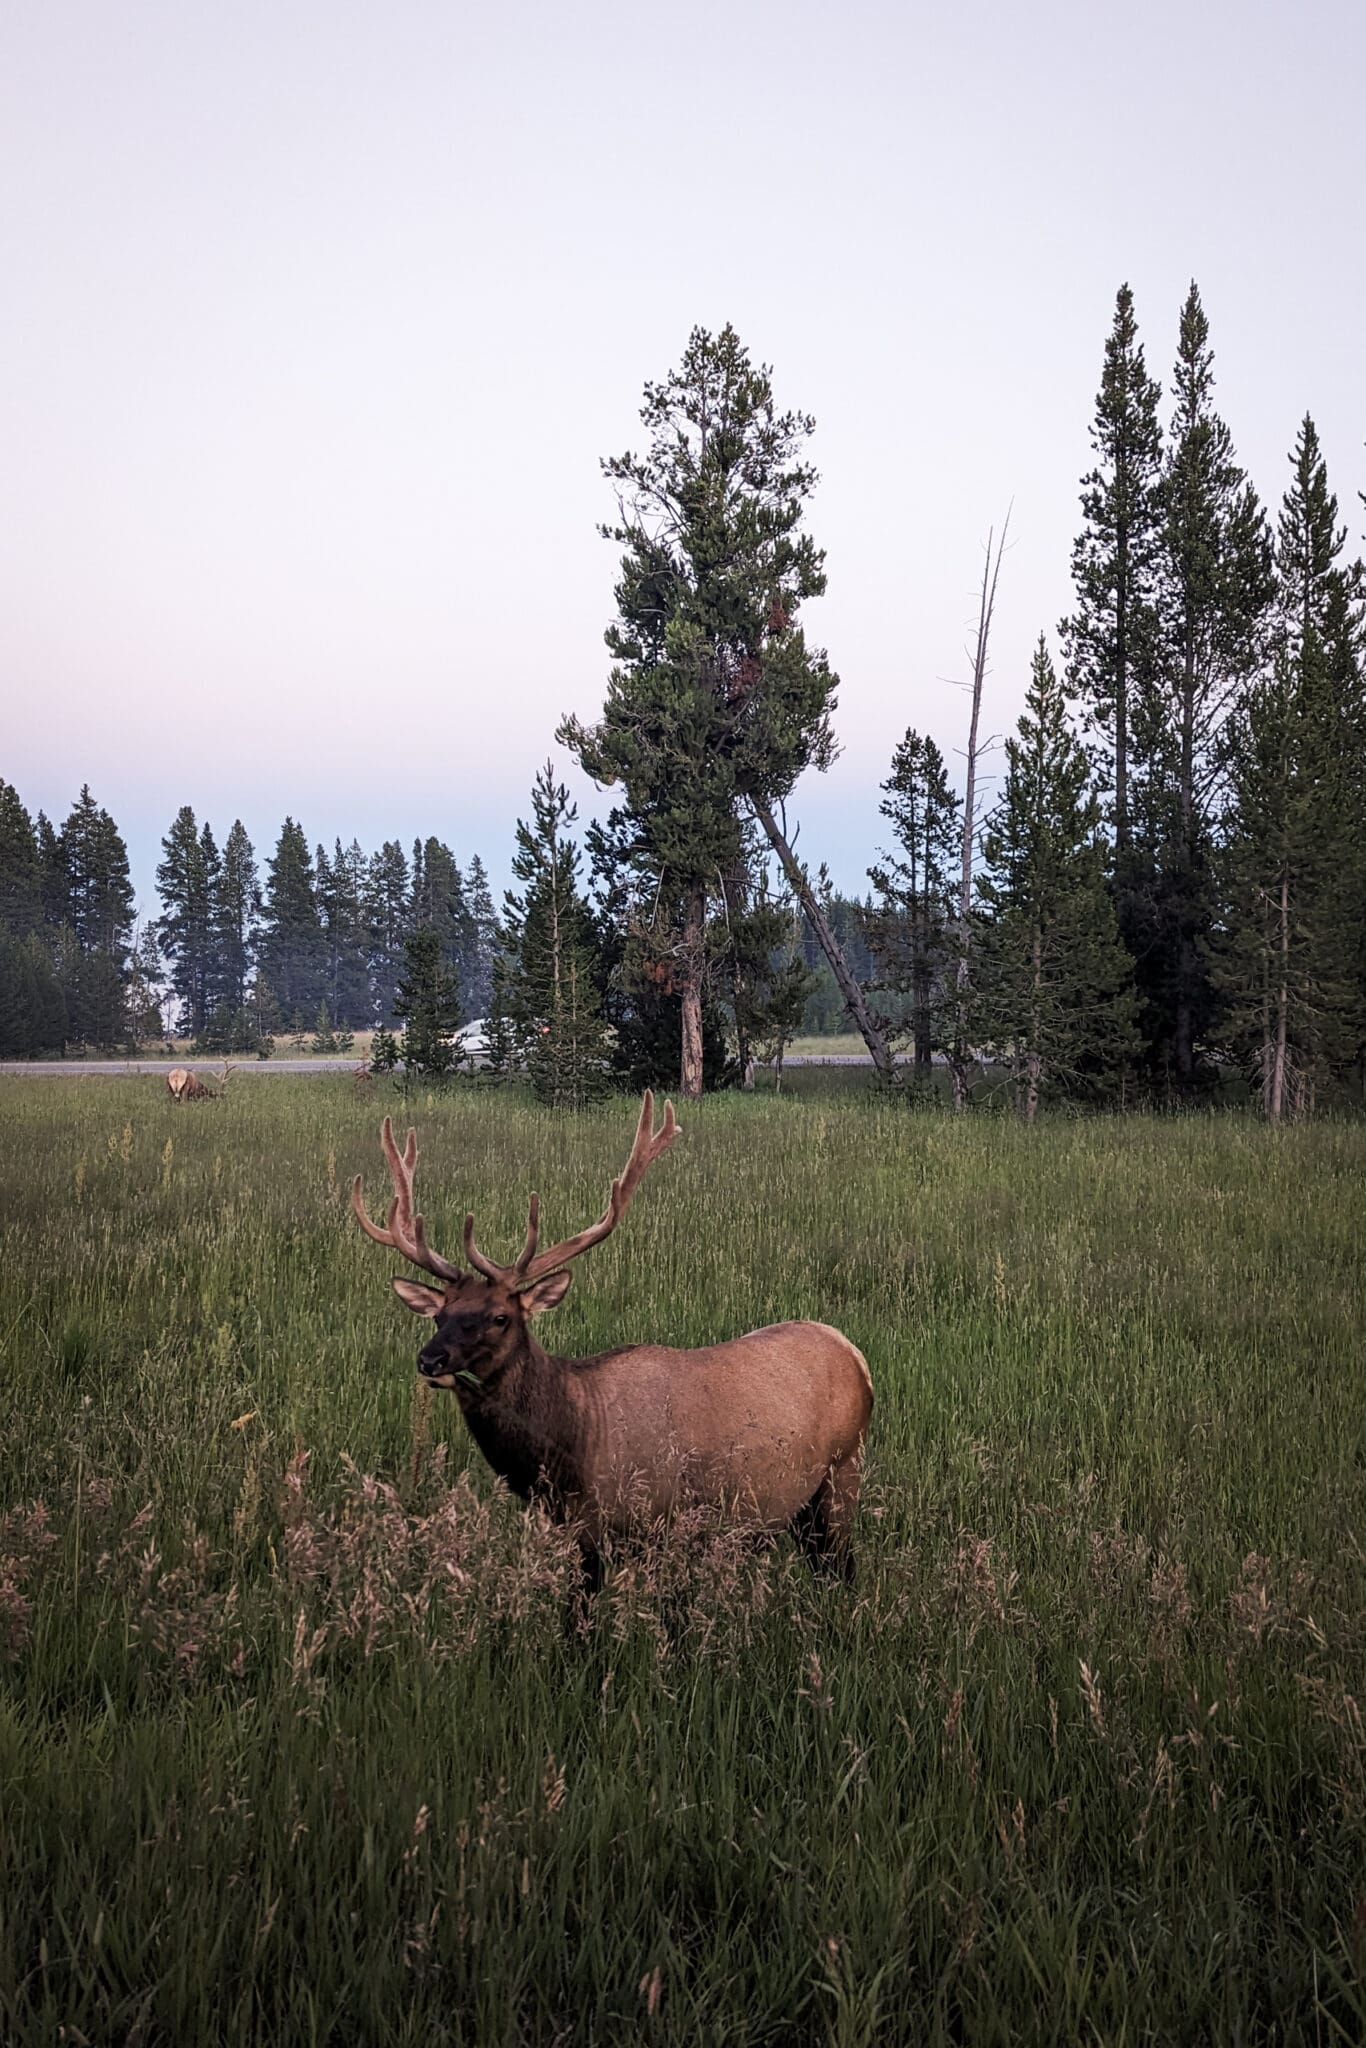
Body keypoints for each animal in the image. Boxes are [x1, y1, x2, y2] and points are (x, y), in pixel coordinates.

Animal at [352, 1089, 876, 1581]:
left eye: (500, 1317)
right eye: (439, 1315)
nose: (430, 1360)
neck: (573, 1452)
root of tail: (855, 1354)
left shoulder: (661, 1523)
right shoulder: (575, 1535)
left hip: (844, 1471)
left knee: (844, 1570)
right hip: (803, 1507)